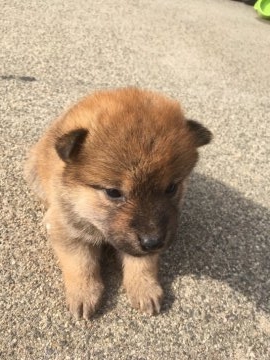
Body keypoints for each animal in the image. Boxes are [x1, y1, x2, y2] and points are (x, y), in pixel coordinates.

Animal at [24, 87, 212, 318]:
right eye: (113, 192)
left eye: (171, 188)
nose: (154, 242)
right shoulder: (69, 231)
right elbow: (81, 264)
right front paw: (84, 294)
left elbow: (143, 263)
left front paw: (144, 288)